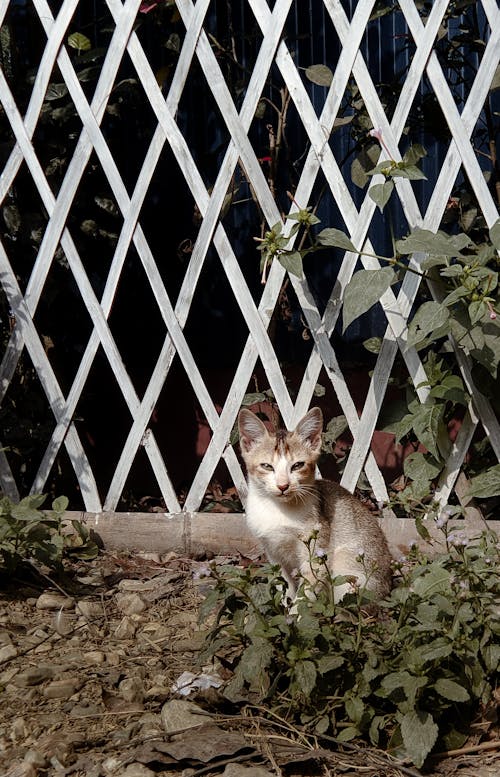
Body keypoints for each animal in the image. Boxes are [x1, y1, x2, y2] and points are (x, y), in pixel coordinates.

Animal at [236, 406, 392, 600]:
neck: (278, 509)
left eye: (297, 465)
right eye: (267, 466)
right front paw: (285, 604)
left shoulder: (316, 551)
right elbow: (284, 584)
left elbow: (306, 593)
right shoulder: (272, 552)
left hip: (348, 565)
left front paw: (297, 608)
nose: (283, 486)